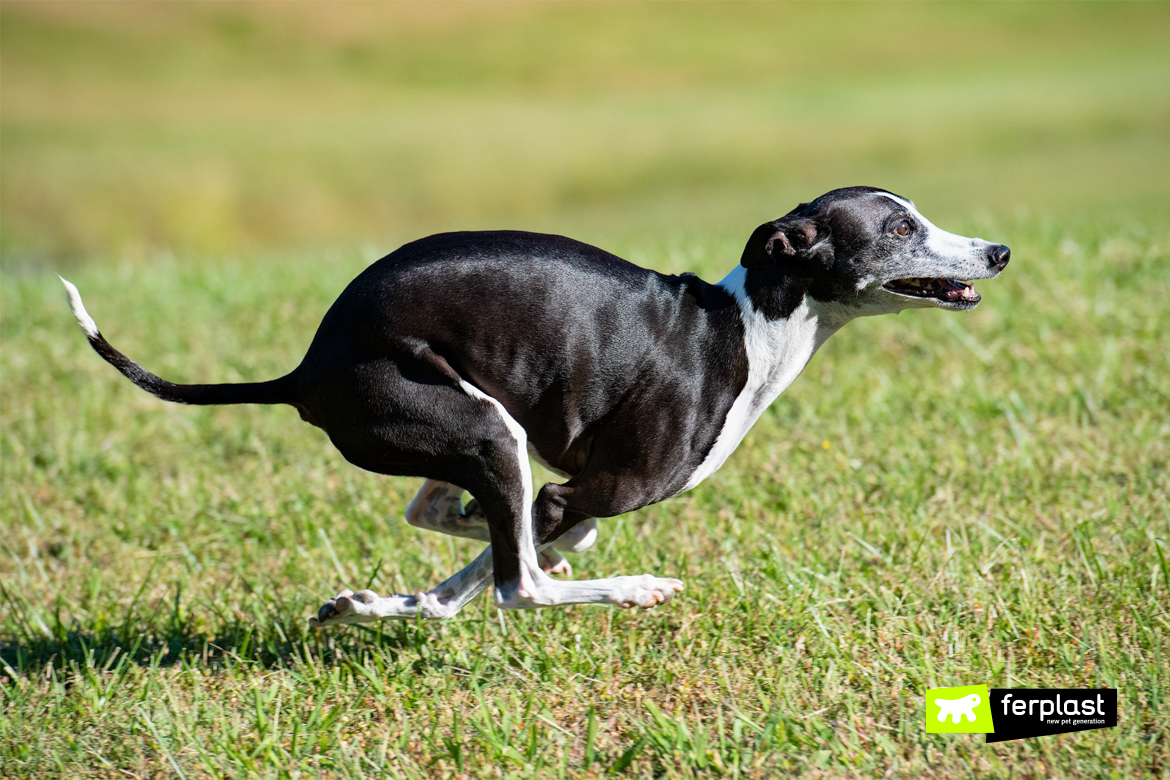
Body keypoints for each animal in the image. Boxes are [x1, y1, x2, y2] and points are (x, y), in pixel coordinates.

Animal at [61, 184, 1006, 626]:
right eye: (897, 229)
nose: (997, 251)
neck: (742, 329)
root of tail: (308, 368)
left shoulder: (560, 490)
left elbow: (484, 561)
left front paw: (384, 603)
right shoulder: (586, 487)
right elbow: (522, 557)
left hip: (482, 430)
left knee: (448, 523)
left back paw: (381, 601)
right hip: (481, 428)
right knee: (519, 587)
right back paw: (631, 588)